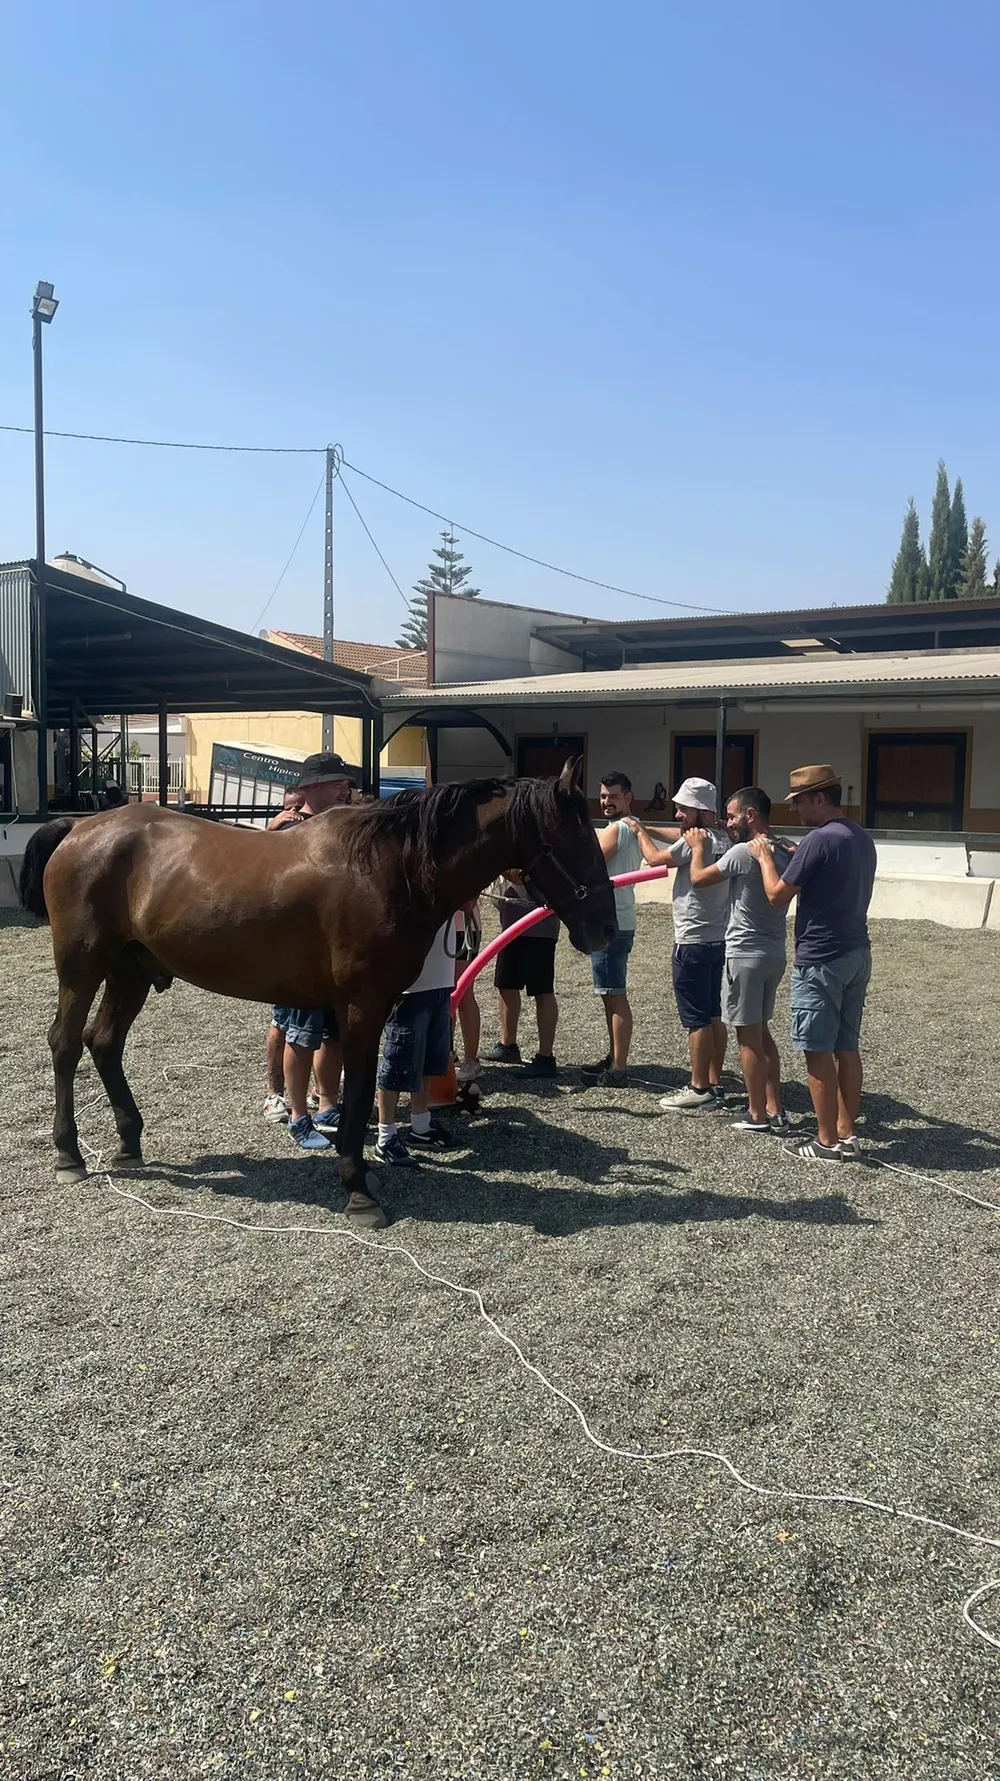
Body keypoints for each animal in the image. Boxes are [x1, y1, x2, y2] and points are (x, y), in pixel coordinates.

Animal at [19, 761, 617, 1229]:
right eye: (579, 839)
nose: (605, 929)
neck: (387, 868)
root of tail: (78, 827)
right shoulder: (362, 1006)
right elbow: (358, 1091)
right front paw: (358, 1189)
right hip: (82, 968)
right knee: (66, 1043)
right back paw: (69, 1154)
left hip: (130, 972)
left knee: (104, 1042)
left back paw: (129, 1143)